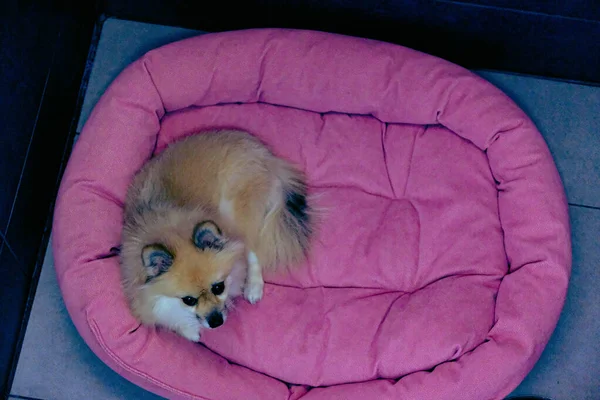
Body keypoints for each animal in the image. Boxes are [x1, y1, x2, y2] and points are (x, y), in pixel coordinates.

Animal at [118, 128, 314, 340]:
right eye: (188, 300)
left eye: (219, 287)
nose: (216, 321)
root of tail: (267, 156)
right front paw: (189, 331)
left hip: (236, 211)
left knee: (253, 250)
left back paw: (253, 286)